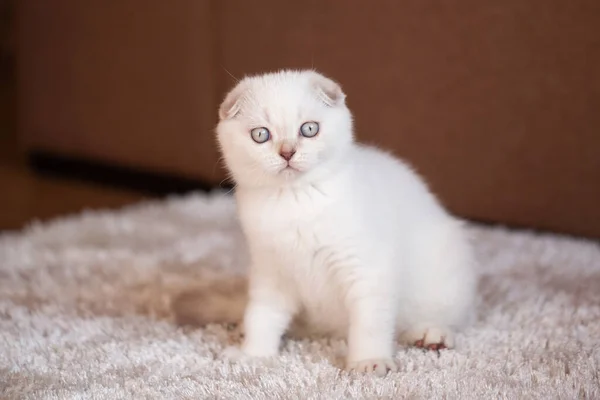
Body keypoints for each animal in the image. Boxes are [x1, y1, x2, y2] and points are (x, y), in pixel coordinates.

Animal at [175, 69, 478, 376]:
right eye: (260, 135)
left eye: (309, 129)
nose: (287, 152)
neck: (294, 201)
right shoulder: (271, 270)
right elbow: (262, 315)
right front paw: (254, 354)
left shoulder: (365, 267)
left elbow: (369, 322)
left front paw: (369, 361)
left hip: (445, 269)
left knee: (447, 315)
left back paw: (432, 334)